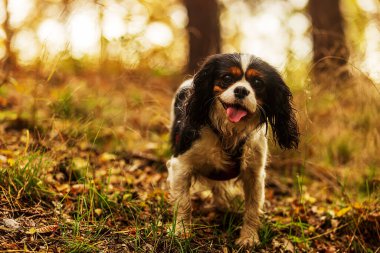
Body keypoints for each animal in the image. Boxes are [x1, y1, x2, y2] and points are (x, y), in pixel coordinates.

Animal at [167, 52, 300, 247]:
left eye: (257, 83)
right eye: (227, 78)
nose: (241, 90)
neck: (229, 131)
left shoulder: (254, 174)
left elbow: (252, 208)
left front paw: (249, 238)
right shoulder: (181, 165)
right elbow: (183, 202)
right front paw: (181, 231)